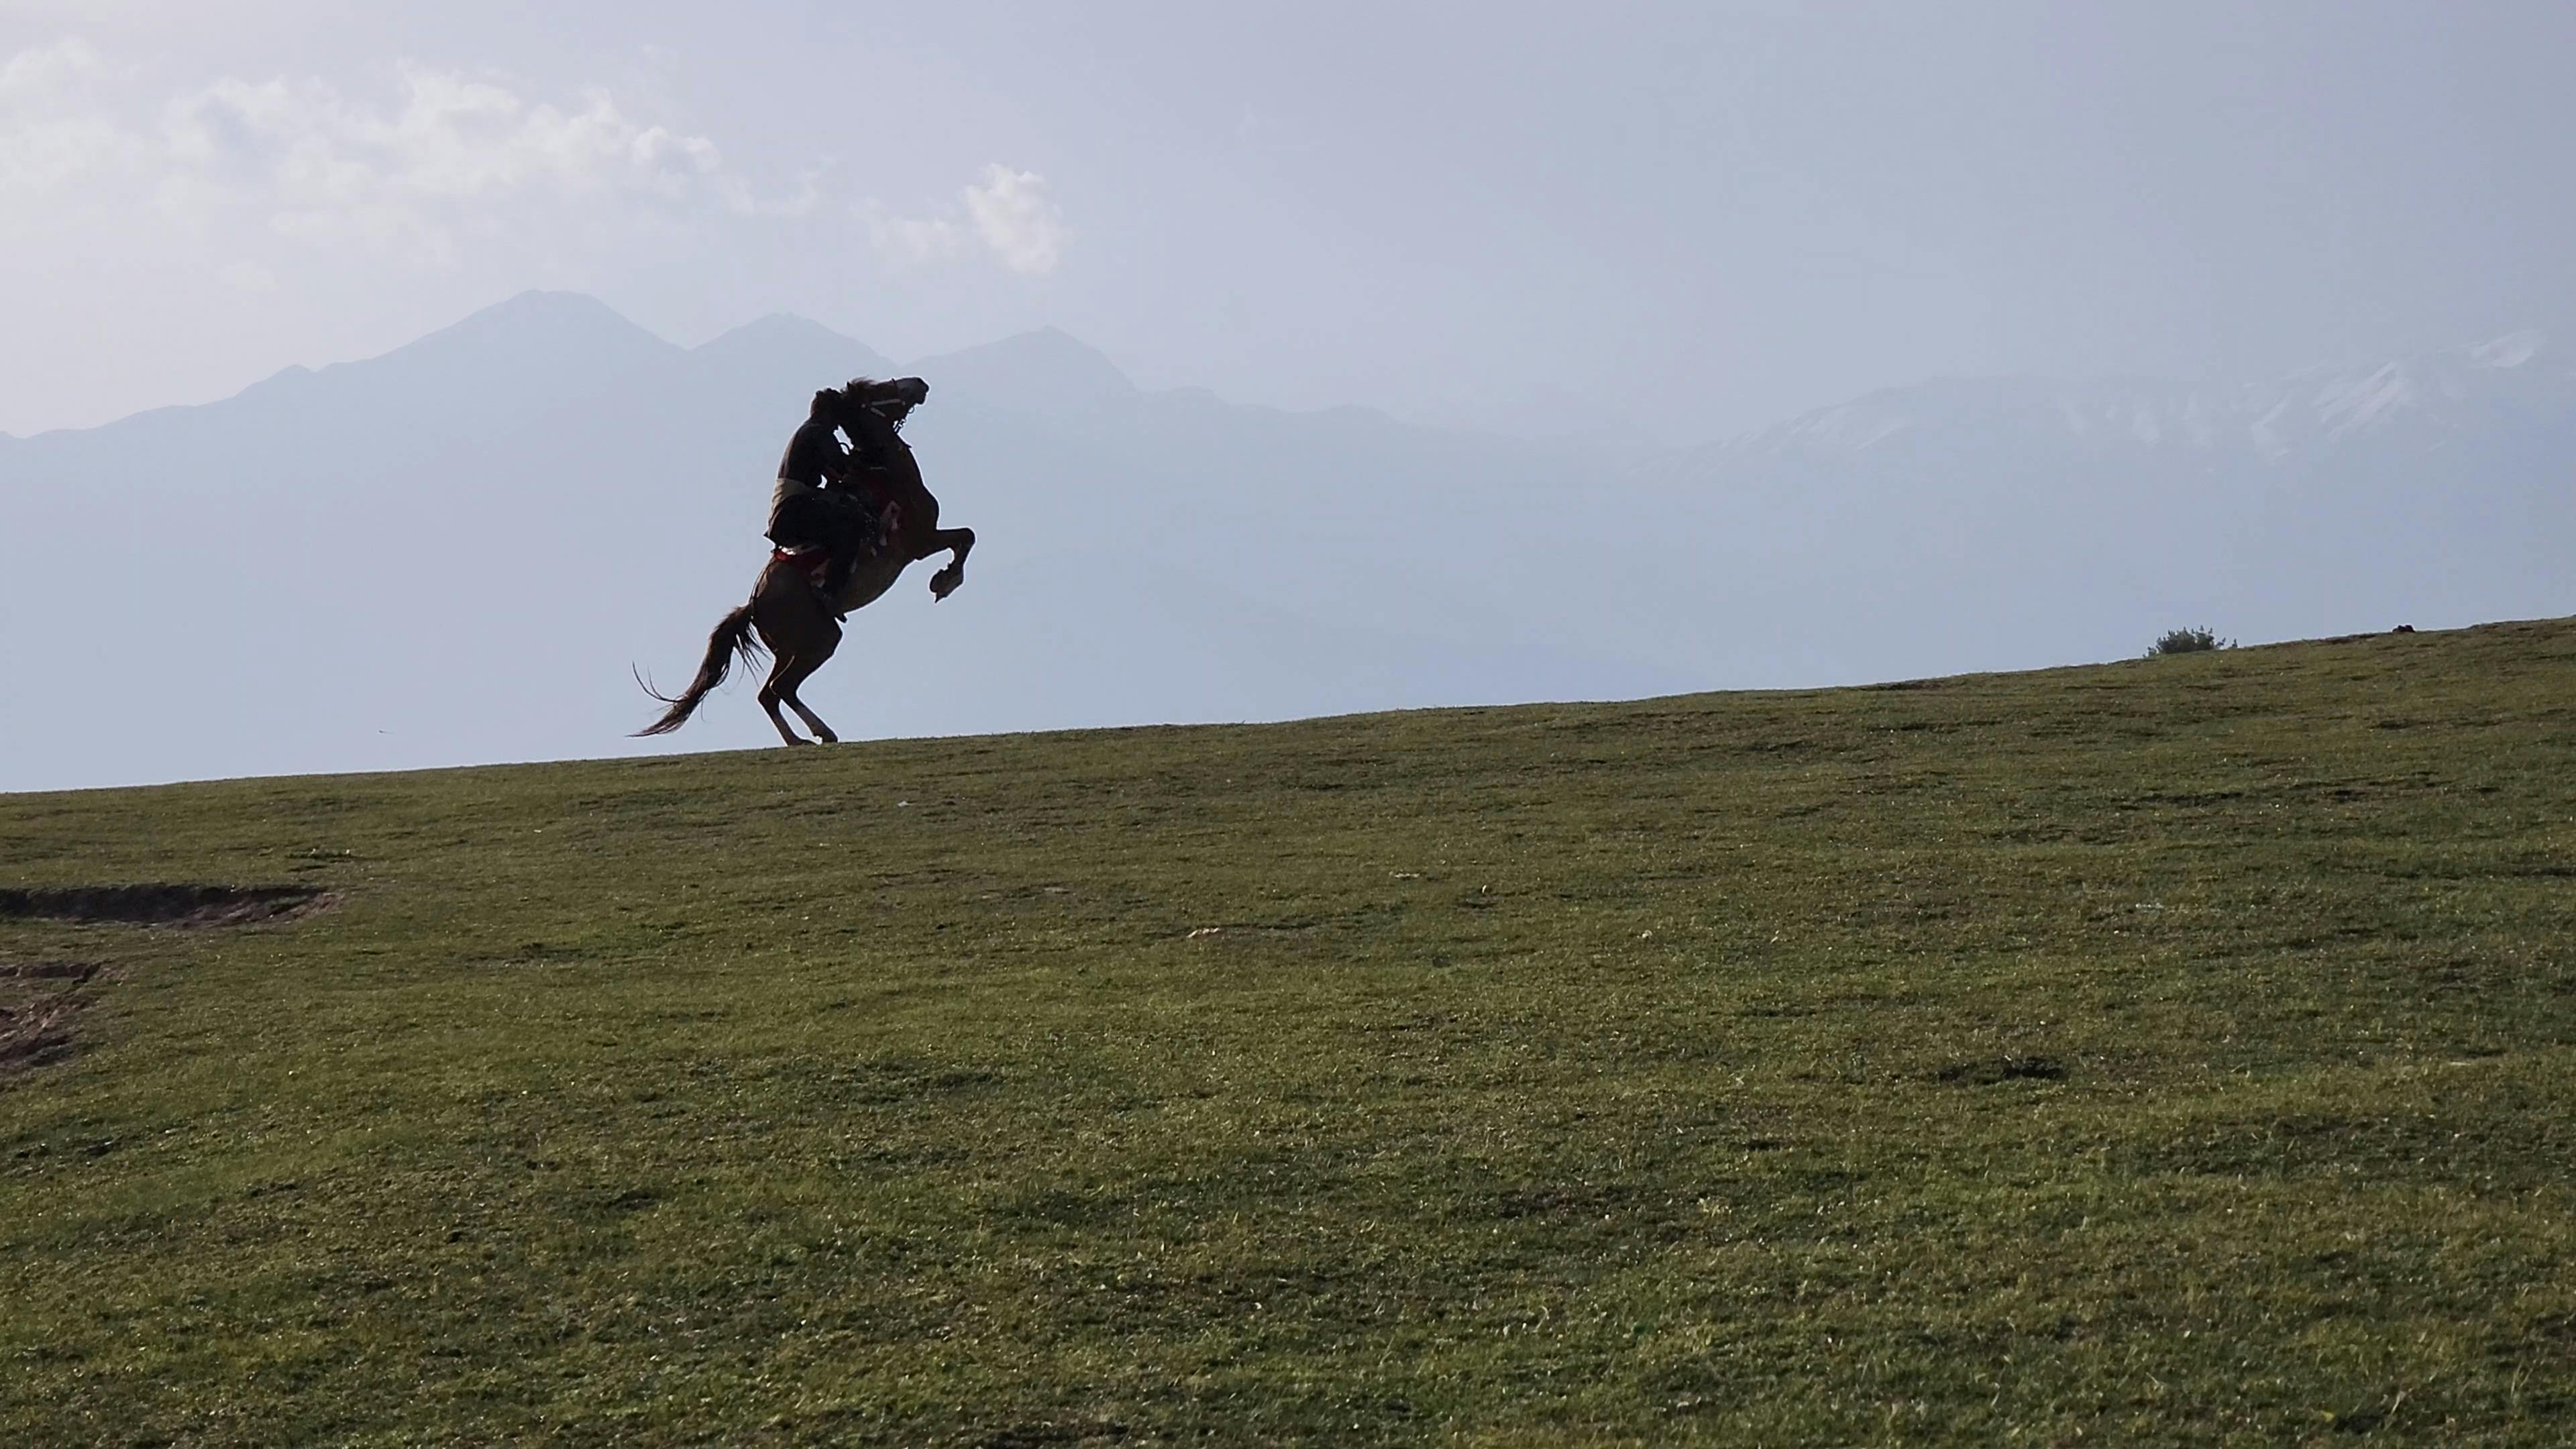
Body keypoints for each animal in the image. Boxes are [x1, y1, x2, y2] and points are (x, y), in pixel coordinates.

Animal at [635, 377, 976, 746]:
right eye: (878, 388)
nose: (919, 384)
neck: (888, 477)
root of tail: (754, 605)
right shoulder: (921, 541)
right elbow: (966, 537)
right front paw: (946, 581)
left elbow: (965, 537)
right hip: (819, 641)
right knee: (780, 689)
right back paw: (816, 734)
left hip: (791, 648)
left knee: (770, 693)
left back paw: (804, 738)